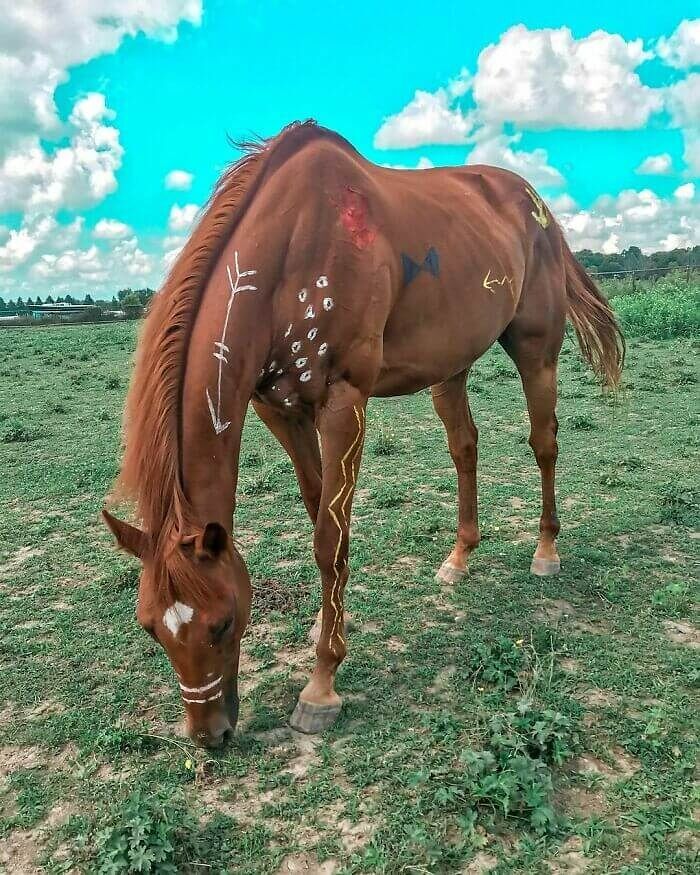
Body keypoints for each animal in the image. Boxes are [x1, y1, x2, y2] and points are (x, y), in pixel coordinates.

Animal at [103, 120, 624, 747]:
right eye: (150, 627)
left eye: (224, 622)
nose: (211, 736)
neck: (288, 255)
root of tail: (533, 202)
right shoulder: (279, 410)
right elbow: (316, 509)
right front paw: (321, 627)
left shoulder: (343, 401)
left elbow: (330, 537)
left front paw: (321, 686)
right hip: (451, 364)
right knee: (465, 447)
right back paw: (458, 558)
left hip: (536, 349)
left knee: (544, 443)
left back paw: (546, 552)